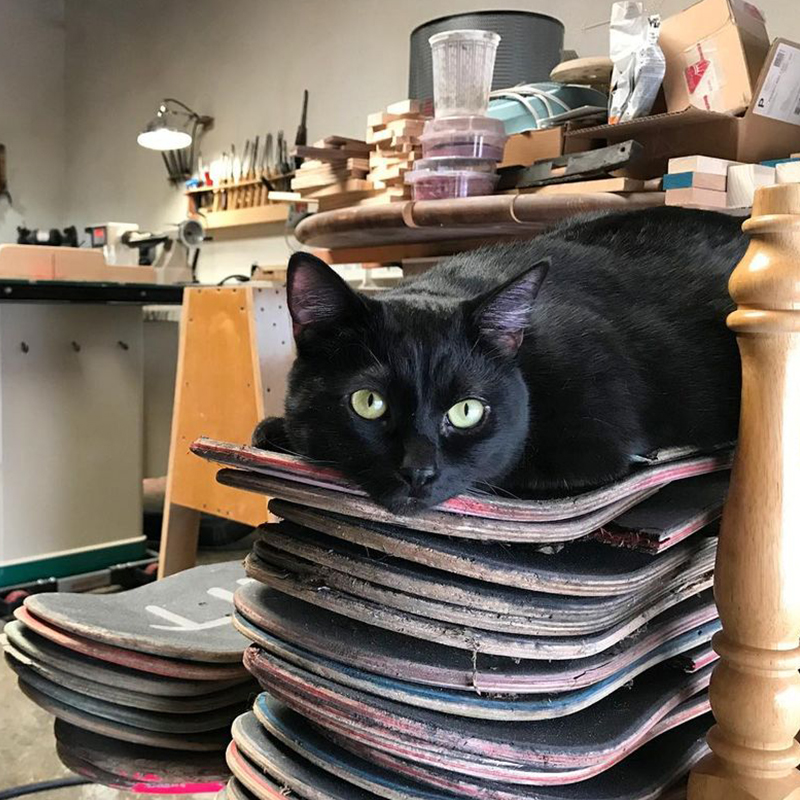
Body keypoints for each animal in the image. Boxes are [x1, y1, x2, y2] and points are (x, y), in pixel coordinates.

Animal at [253, 203, 748, 510]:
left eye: (467, 411)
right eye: (368, 403)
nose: (419, 472)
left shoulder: (591, 449)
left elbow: (498, 470)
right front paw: (276, 429)